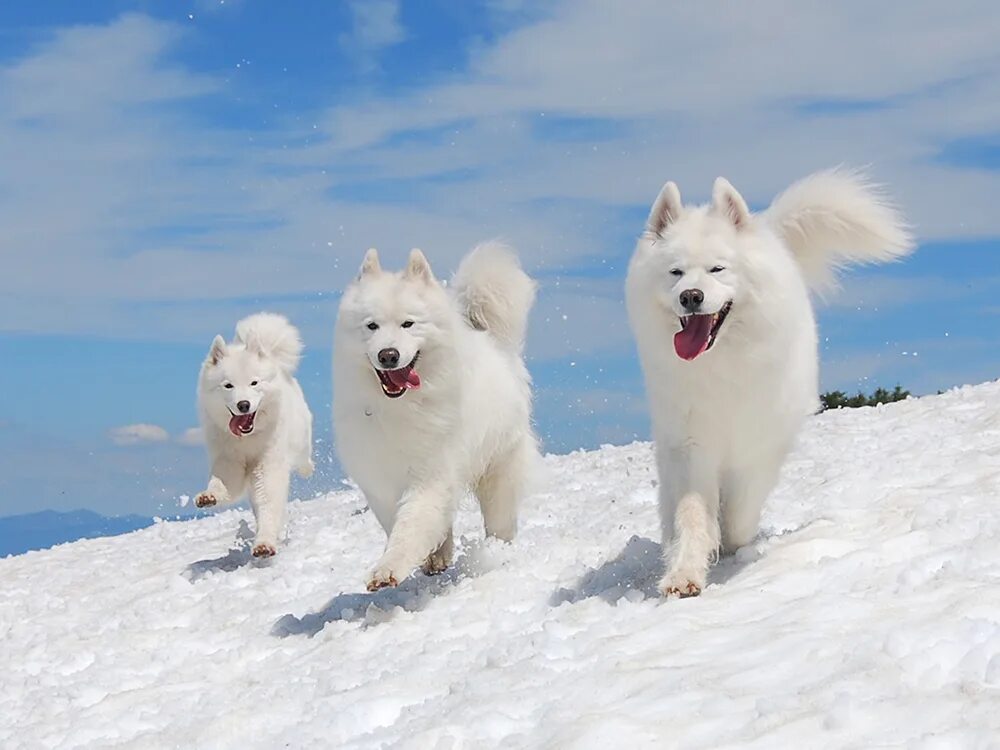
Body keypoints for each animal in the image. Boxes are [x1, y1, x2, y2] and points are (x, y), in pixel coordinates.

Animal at [196, 312, 316, 560]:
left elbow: (269, 504)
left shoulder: (267, 465)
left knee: (303, 457)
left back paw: (307, 468)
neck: (248, 440)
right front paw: (208, 496)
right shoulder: (228, 460)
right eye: (228, 386)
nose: (243, 405)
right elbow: (221, 482)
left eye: (254, 382)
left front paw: (264, 544)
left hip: (300, 439)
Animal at [334, 244, 540, 592]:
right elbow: (402, 522)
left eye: (408, 324)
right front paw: (433, 555)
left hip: (498, 468)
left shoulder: (431, 473)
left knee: (500, 520)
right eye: (372, 326)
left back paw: (495, 552)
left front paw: (388, 569)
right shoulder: (379, 480)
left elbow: (411, 526)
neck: (399, 407)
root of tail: (492, 340)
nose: (388, 355)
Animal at [624, 169, 916, 600]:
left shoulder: (759, 442)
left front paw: (731, 541)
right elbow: (691, 513)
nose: (690, 296)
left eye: (717, 269)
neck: (721, 364)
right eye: (675, 272)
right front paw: (684, 573)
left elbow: (740, 509)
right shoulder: (690, 442)